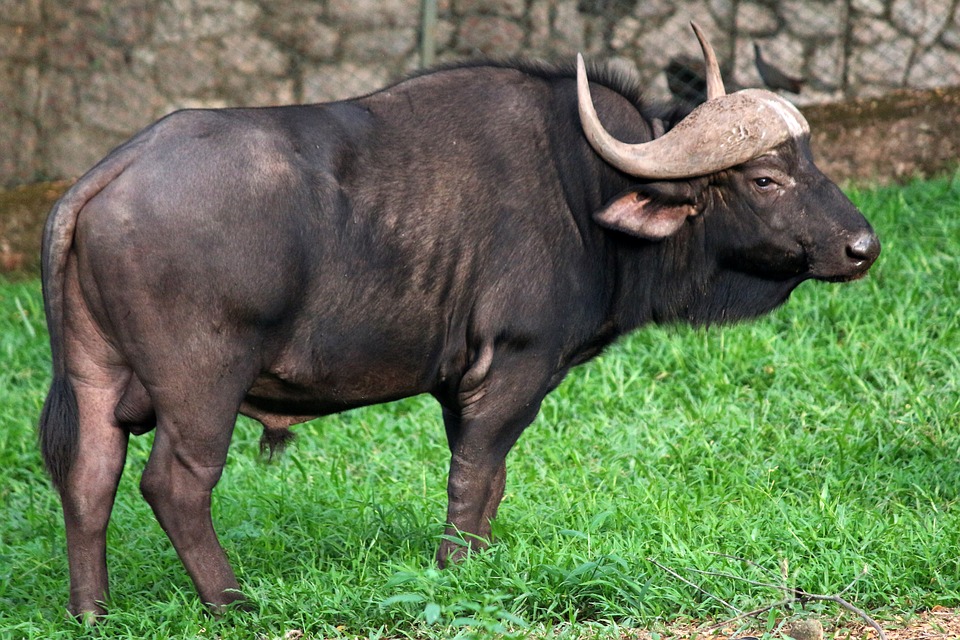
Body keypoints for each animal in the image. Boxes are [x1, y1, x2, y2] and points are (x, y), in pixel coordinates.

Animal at [40, 23, 878, 617]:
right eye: (765, 178)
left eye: (812, 161)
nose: (862, 248)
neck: (584, 190)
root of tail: (108, 174)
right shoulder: (514, 367)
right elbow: (475, 477)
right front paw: (458, 573)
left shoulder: (470, 385)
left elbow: (492, 480)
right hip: (203, 385)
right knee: (174, 484)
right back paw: (232, 600)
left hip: (95, 377)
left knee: (88, 476)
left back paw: (92, 611)